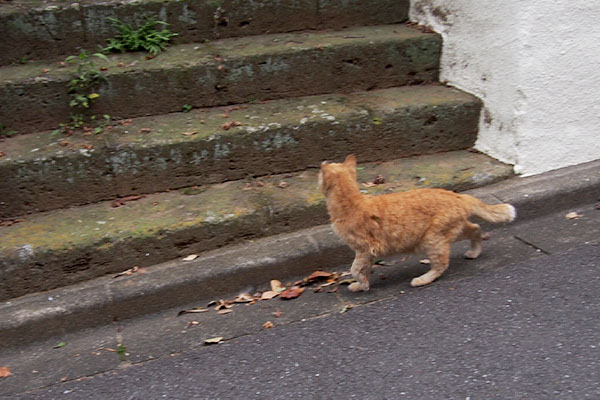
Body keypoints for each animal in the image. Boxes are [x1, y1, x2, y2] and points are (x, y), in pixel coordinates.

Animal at [318, 155, 516, 290]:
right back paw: (474, 252)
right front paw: (363, 285)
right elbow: (363, 270)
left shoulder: (365, 249)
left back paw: (422, 279)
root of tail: (457, 195)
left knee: (442, 263)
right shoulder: (367, 253)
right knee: (476, 228)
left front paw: (362, 285)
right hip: (452, 231)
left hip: (432, 240)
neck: (351, 203)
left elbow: (355, 269)